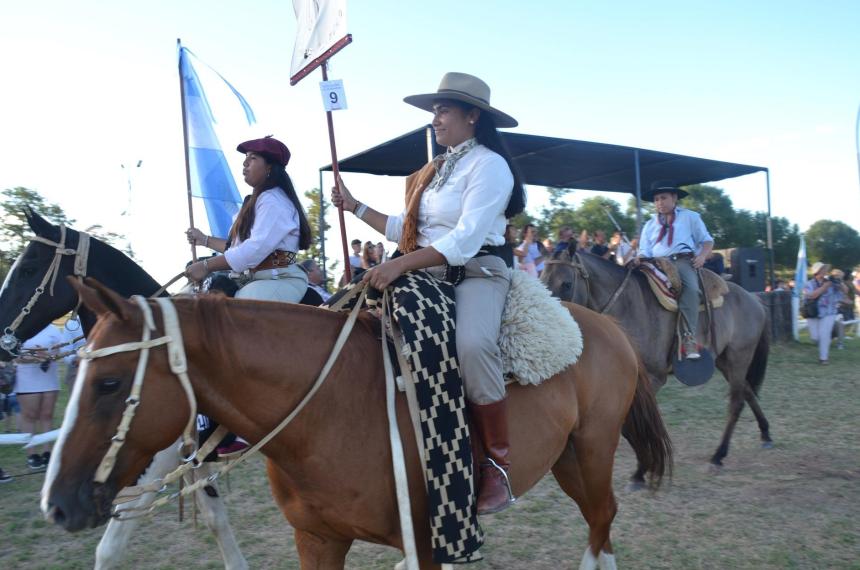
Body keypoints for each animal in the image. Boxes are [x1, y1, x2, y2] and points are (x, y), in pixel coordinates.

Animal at [42, 280, 672, 568]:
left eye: (109, 383)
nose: (57, 504)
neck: (329, 407)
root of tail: (609, 327)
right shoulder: (317, 539)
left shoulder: (430, 541)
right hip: (567, 456)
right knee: (600, 518)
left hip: (591, 450)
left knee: (602, 517)